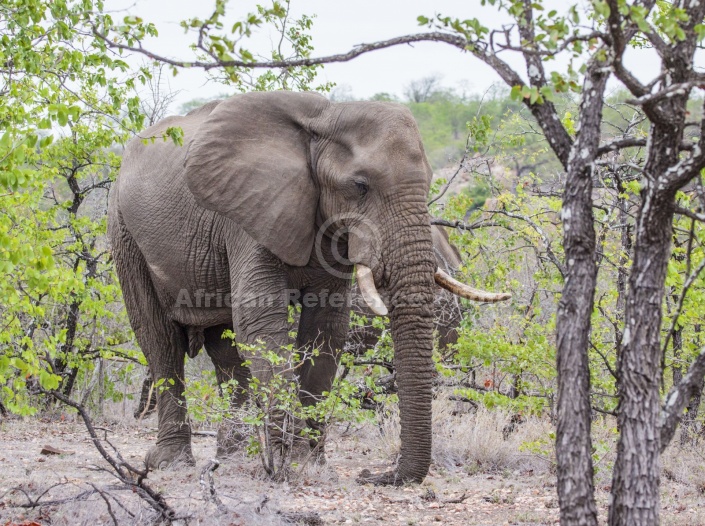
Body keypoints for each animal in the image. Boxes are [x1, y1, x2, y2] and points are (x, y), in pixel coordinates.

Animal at [108, 91, 506, 486]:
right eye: (360, 186)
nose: (373, 474)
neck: (327, 117)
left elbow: (326, 327)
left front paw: (308, 462)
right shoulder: (248, 211)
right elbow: (260, 324)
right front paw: (291, 464)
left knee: (224, 352)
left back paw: (231, 459)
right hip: (124, 232)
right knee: (160, 341)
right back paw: (171, 463)